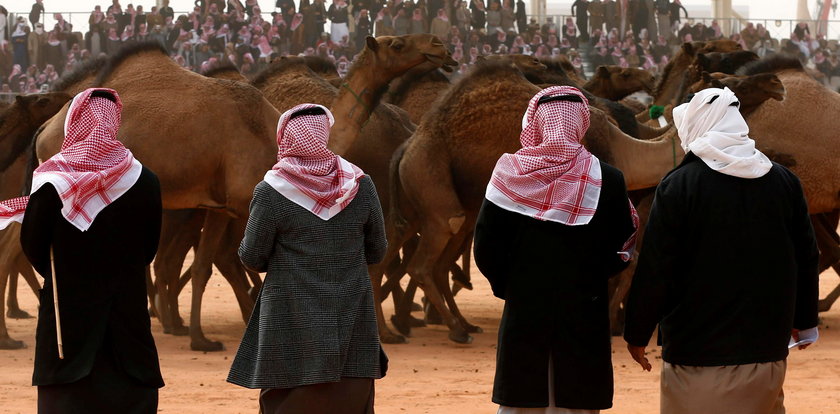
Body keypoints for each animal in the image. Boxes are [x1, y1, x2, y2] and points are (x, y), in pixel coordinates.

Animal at [386, 60, 684, 342]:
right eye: (624, 73)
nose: (651, 77)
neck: (624, 148)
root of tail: (406, 147)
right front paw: (607, 324)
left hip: (422, 200)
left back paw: (435, 324)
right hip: (429, 174)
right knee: (427, 257)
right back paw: (452, 330)